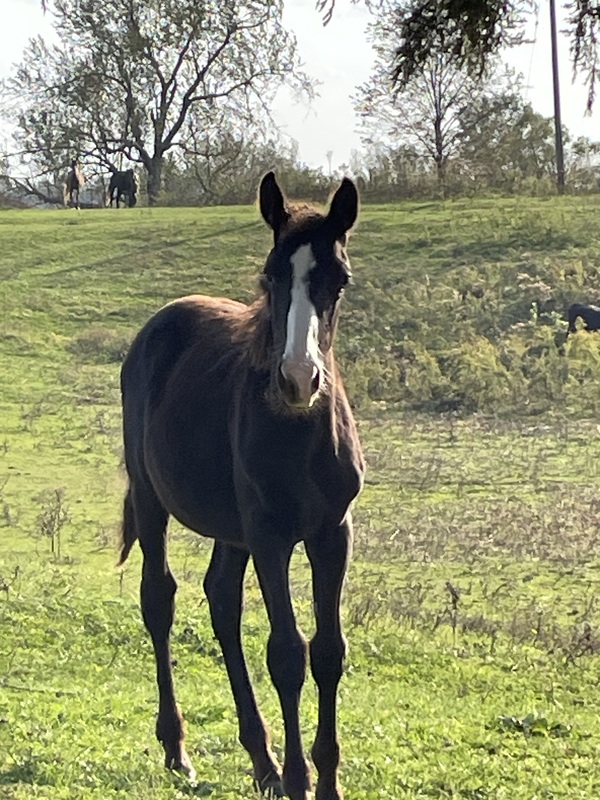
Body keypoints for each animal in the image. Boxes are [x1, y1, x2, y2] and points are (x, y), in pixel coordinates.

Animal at [119, 172, 364, 796]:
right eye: (271, 275)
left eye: (339, 280)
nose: (299, 379)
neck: (299, 433)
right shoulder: (270, 535)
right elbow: (287, 653)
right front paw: (301, 779)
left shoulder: (333, 533)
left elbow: (328, 651)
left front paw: (324, 778)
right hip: (154, 499)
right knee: (159, 600)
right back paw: (178, 749)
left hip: (233, 530)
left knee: (221, 600)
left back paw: (262, 759)